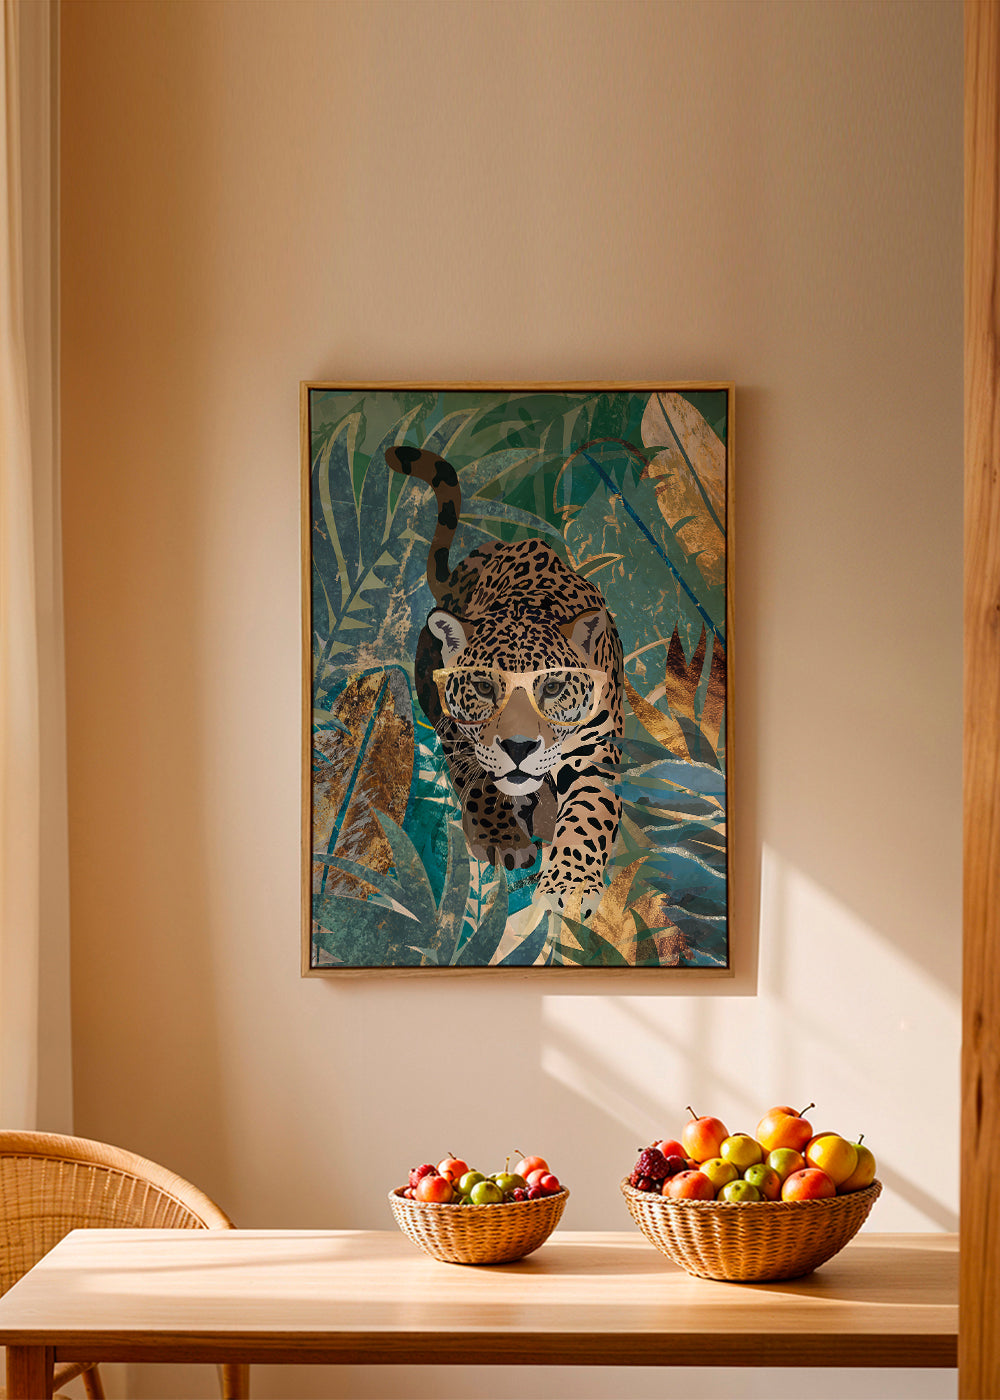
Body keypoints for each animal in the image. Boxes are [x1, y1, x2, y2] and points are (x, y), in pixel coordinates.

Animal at [387, 445, 623, 916]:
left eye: (552, 687)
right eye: (483, 687)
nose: (518, 748)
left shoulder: (595, 751)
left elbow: (589, 814)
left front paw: (569, 887)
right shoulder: (456, 727)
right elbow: (479, 779)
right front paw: (502, 839)